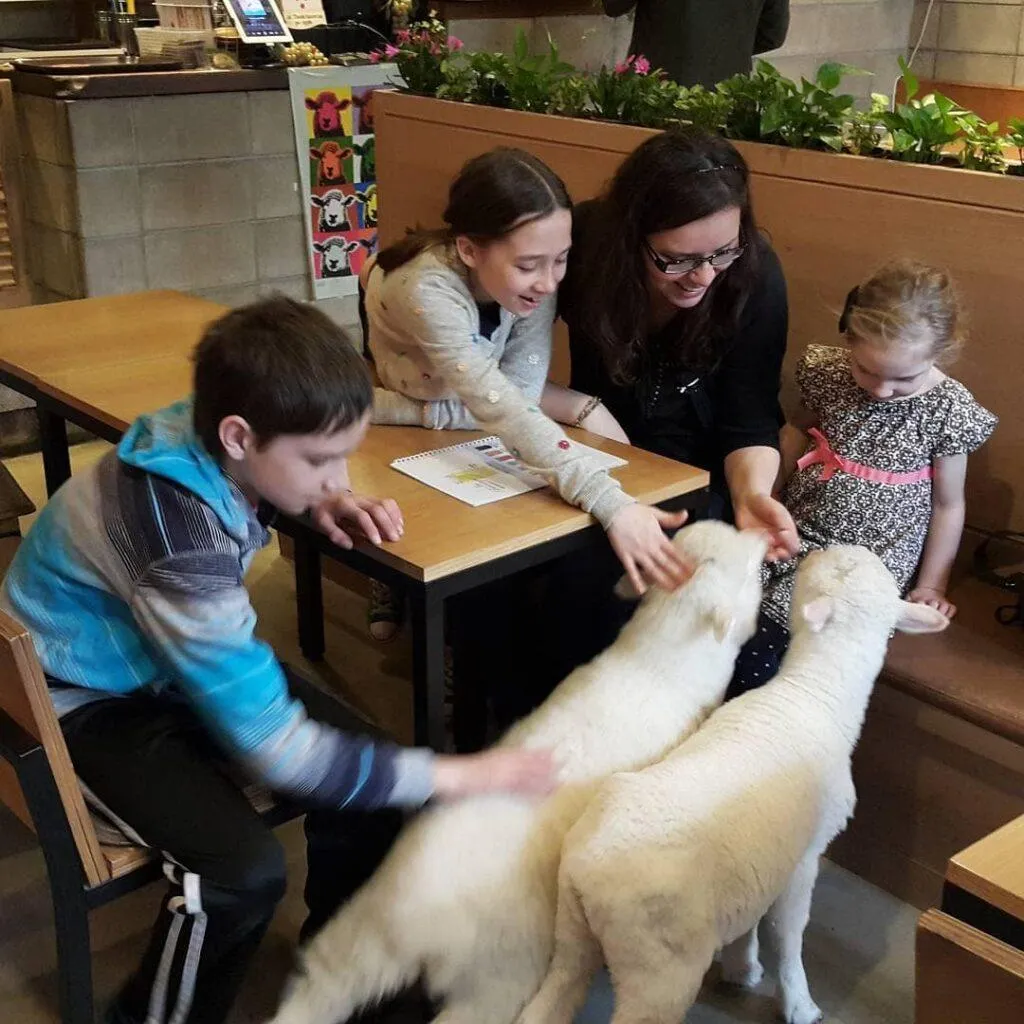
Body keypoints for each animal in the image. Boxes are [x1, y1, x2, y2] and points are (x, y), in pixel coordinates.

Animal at [270, 520, 770, 1024]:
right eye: (751, 567)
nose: (765, 536)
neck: (661, 656)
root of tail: (414, 925)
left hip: (362, 929)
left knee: (323, 983)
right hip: (501, 969)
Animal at [520, 548, 950, 1024]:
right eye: (829, 567)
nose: (814, 549)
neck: (815, 692)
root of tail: (584, 869)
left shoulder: (763, 864)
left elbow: (755, 919)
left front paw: (742, 967)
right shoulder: (804, 857)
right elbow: (789, 936)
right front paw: (799, 1004)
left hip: (572, 932)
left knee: (554, 995)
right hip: (659, 965)